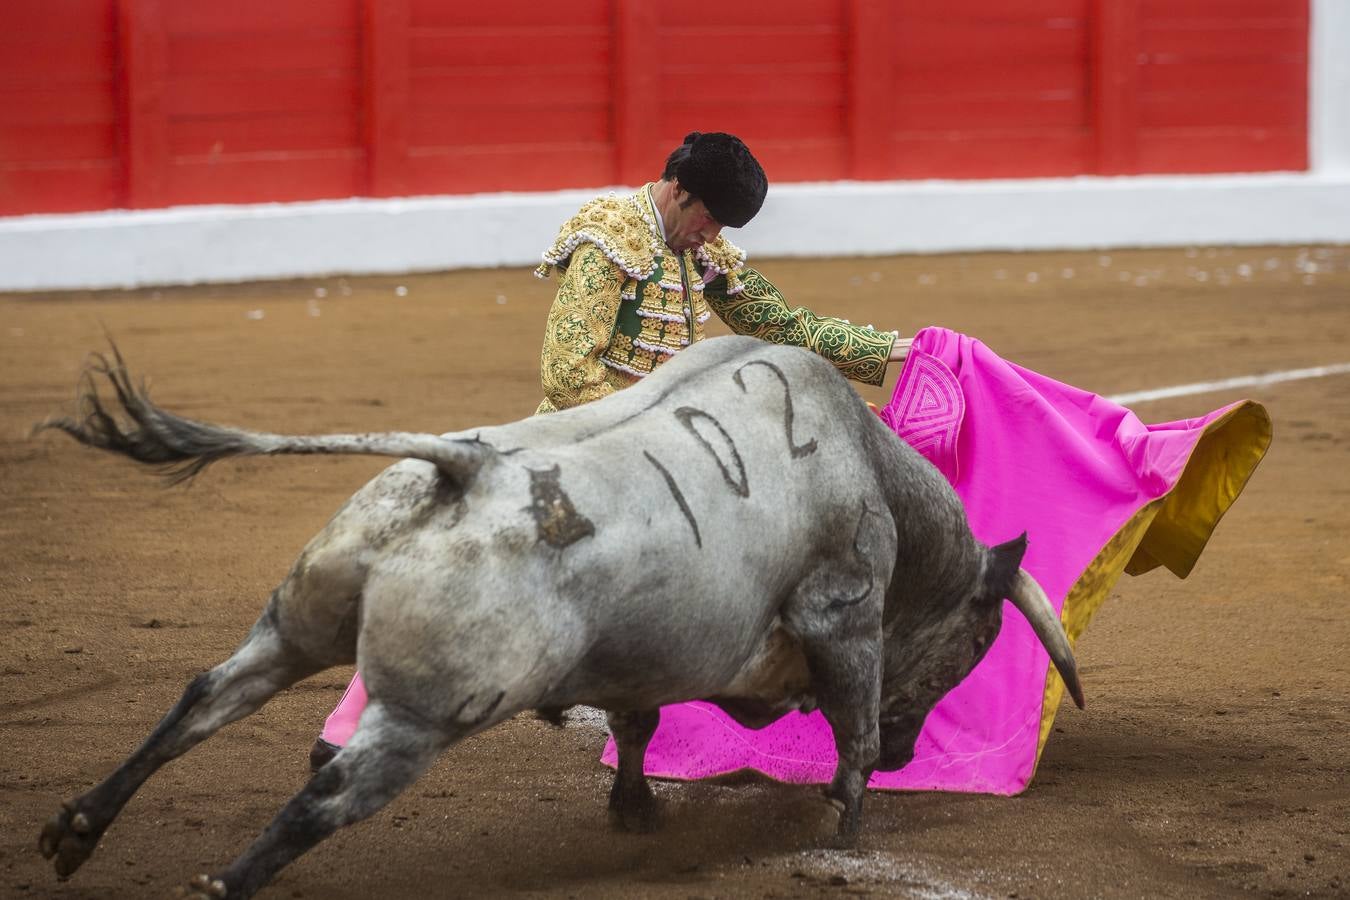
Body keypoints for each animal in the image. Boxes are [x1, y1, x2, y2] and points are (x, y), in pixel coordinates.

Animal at [34, 337, 1085, 900]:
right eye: (977, 643)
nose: (916, 751)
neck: (871, 468)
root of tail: (468, 471)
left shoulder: (641, 651)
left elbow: (638, 721)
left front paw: (635, 810)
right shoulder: (847, 615)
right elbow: (852, 734)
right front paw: (845, 841)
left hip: (300, 622)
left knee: (209, 695)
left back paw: (79, 827)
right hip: (426, 715)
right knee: (333, 790)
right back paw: (225, 878)